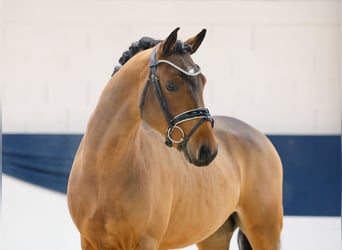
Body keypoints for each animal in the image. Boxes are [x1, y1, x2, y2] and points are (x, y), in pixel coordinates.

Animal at [67, 27, 284, 250]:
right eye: (171, 86)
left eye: (203, 82)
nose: (207, 150)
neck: (103, 169)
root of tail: (259, 137)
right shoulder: (89, 241)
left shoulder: (145, 242)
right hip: (214, 236)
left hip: (264, 232)